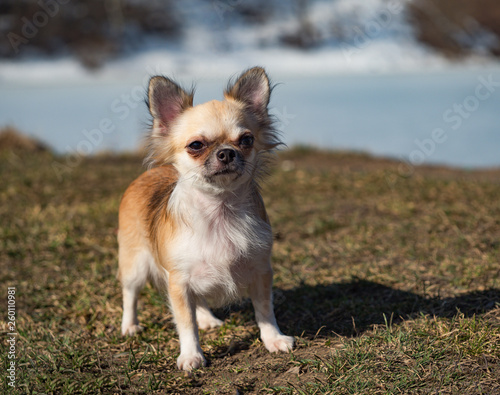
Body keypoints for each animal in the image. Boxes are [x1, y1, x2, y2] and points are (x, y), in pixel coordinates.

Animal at [117, 65, 292, 372]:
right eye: (196, 145)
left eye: (246, 140)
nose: (226, 153)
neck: (219, 210)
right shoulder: (178, 282)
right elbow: (186, 323)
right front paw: (191, 355)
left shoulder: (261, 272)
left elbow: (264, 311)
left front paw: (273, 339)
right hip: (135, 264)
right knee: (130, 295)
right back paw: (130, 326)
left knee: (198, 300)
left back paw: (208, 319)